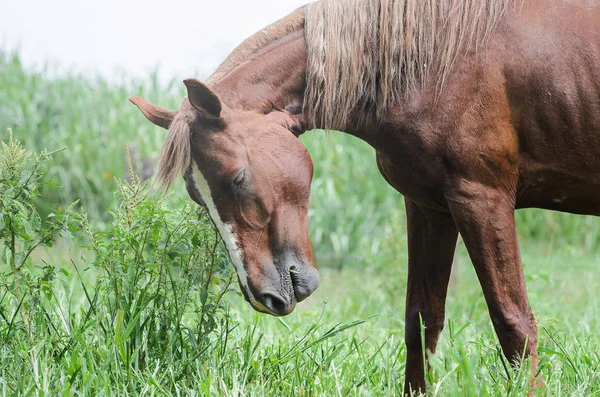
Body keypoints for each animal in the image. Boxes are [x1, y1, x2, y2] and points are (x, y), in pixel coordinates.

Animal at [130, 0, 600, 390]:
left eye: (238, 178)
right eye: (197, 196)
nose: (265, 296)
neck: (434, 61)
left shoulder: (482, 198)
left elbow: (513, 323)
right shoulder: (430, 207)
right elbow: (421, 320)